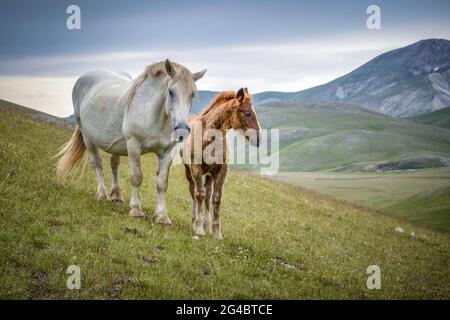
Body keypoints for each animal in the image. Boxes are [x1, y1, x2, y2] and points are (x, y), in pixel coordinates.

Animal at [55, 60, 207, 225]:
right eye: (171, 91)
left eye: (192, 94)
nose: (182, 131)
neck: (154, 114)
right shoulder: (134, 147)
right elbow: (137, 177)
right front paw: (136, 210)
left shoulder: (166, 152)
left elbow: (162, 183)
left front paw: (162, 216)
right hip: (87, 137)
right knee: (97, 164)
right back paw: (102, 195)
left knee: (114, 164)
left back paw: (116, 195)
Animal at [182, 89, 262, 239]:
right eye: (247, 113)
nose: (259, 139)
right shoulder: (196, 168)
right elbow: (199, 194)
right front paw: (199, 229)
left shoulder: (221, 171)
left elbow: (216, 198)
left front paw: (216, 233)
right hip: (189, 172)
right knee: (194, 193)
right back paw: (195, 221)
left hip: (209, 175)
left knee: (207, 194)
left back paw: (206, 224)